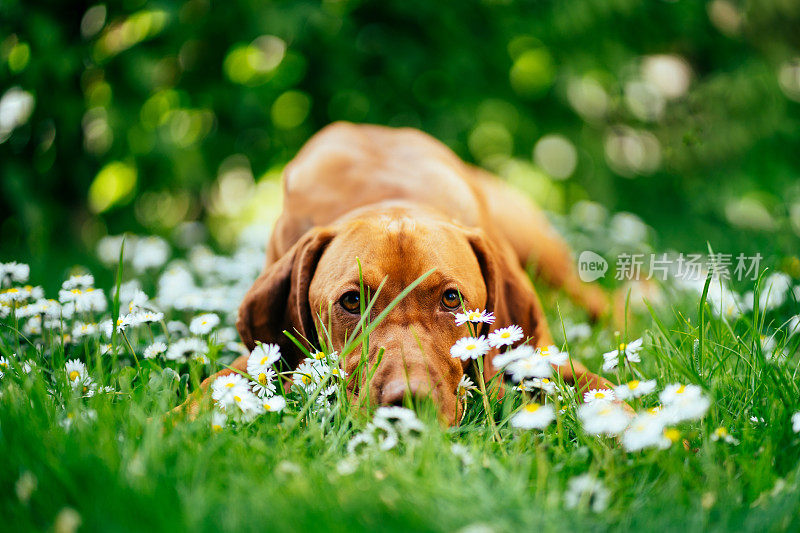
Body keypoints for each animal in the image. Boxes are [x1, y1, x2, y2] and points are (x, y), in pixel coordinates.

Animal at [189, 121, 612, 424]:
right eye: (352, 301)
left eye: (452, 299)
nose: (408, 401)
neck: (390, 195)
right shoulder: (264, 355)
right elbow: (215, 383)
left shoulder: (545, 355)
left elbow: (604, 389)